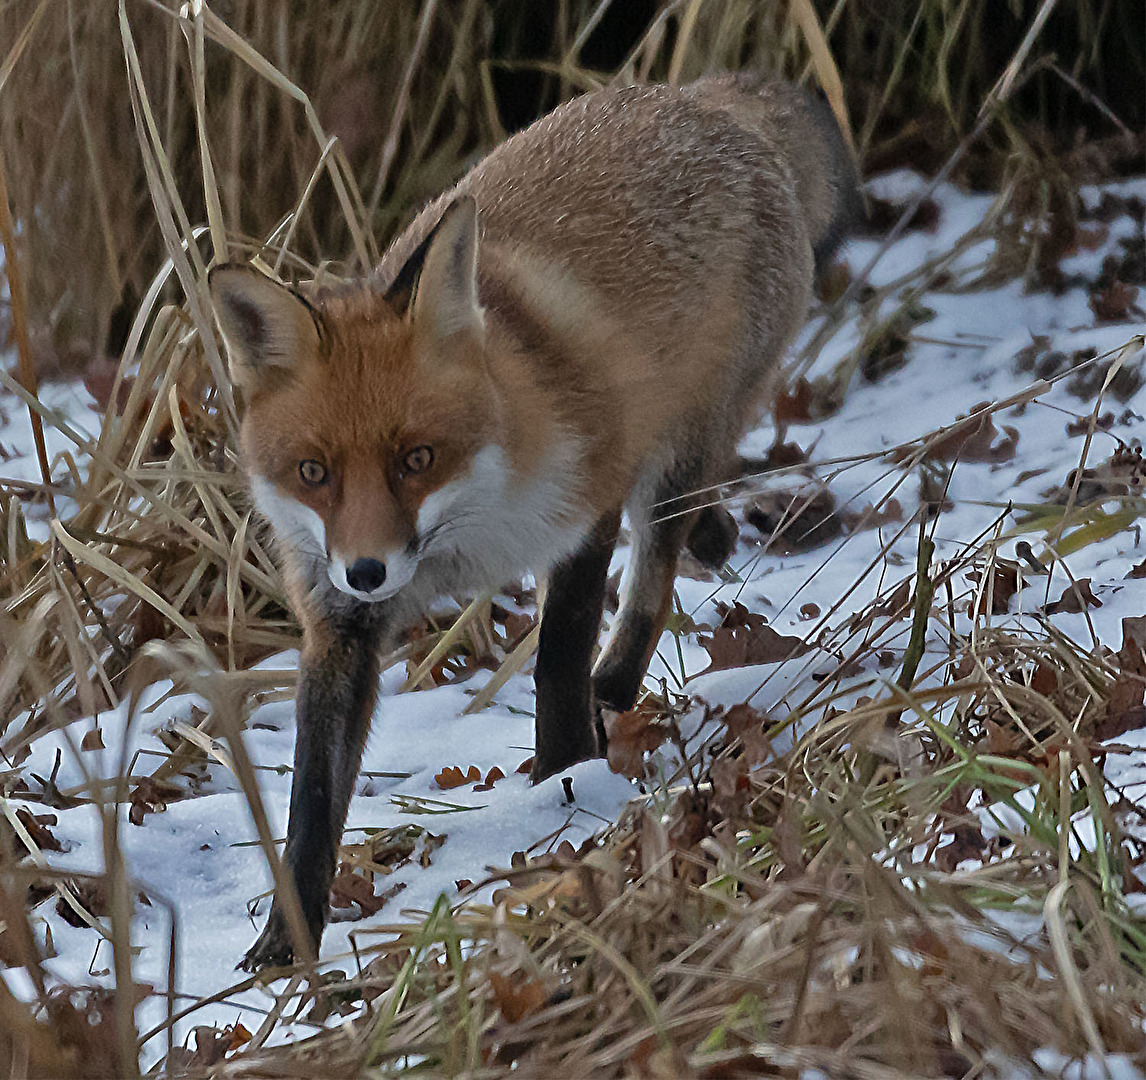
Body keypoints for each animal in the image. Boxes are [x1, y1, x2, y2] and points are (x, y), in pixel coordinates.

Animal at [208, 73, 861, 970]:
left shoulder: (587, 502)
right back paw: (709, 549)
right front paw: (287, 939)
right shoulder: (336, 619)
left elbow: (557, 659)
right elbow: (310, 800)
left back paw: (613, 688)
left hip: (670, 461)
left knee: (650, 586)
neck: (466, 540)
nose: (370, 570)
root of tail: (698, 96)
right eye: (314, 473)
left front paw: (564, 778)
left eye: (417, 458)